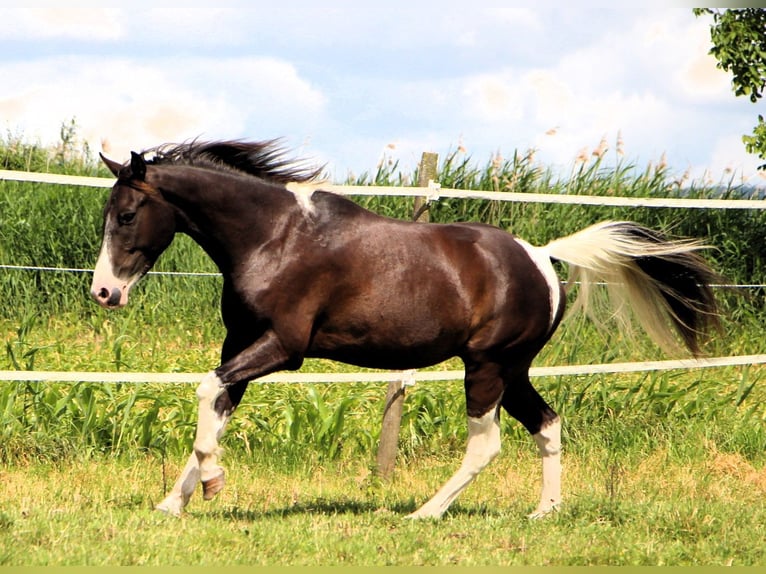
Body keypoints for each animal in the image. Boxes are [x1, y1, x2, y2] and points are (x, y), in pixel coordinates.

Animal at [90, 141, 720, 520]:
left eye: (127, 215)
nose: (104, 293)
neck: (275, 238)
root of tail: (544, 256)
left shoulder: (283, 348)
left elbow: (206, 392)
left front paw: (212, 484)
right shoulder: (241, 345)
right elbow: (214, 404)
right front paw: (174, 502)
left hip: (486, 367)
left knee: (486, 443)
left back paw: (426, 513)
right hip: (513, 369)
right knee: (547, 423)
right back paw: (545, 510)